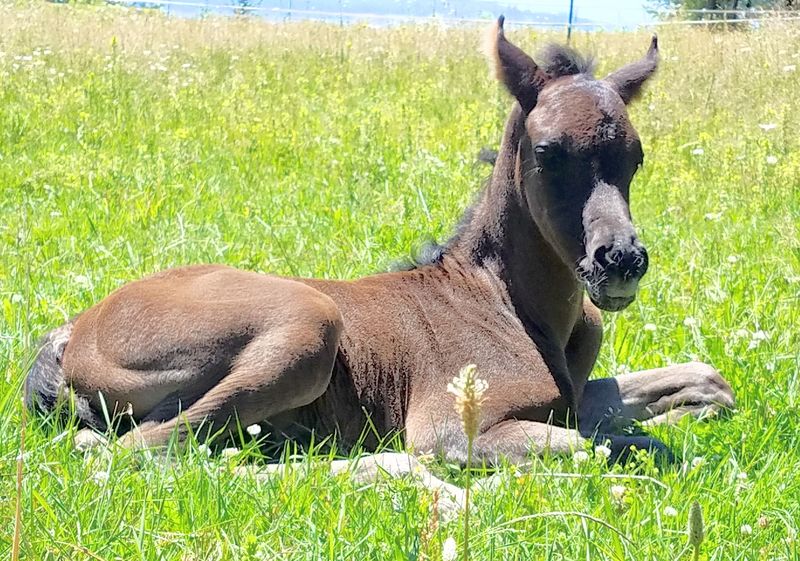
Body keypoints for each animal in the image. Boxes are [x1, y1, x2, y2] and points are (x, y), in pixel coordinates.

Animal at [26, 18, 734, 483]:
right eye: (547, 151)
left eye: (635, 157)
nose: (620, 261)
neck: (515, 306)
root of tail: (71, 333)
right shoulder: (453, 425)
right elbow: (590, 446)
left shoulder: (574, 395)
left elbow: (697, 387)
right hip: (309, 327)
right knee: (141, 453)